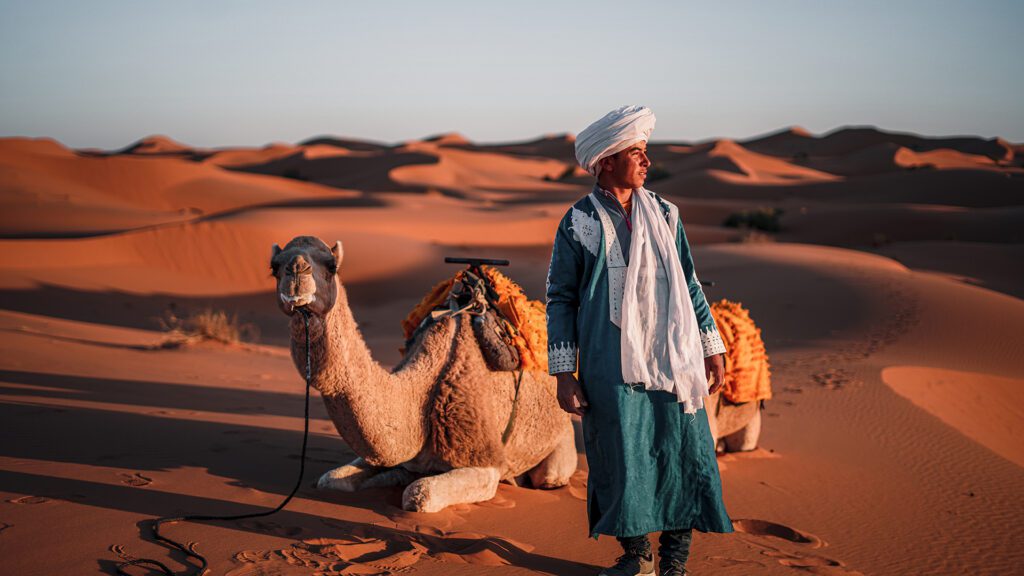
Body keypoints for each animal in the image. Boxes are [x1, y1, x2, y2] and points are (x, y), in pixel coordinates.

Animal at [271, 236, 762, 513]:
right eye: (274, 265)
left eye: (330, 265)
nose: (295, 273)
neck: (421, 391)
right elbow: (331, 480)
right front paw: (383, 477)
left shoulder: (484, 458)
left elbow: (420, 496)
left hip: (563, 440)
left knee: (551, 475)